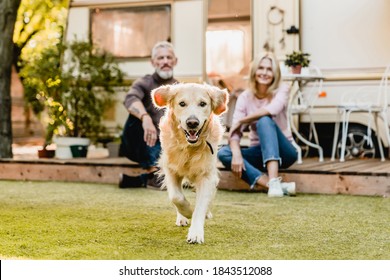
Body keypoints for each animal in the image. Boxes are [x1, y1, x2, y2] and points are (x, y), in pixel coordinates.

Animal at [152, 82, 229, 243]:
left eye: (203, 104)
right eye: (182, 103)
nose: (192, 123)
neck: (190, 148)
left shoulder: (207, 175)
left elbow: (200, 206)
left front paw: (196, 232)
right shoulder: (171, 170)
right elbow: (177, 197)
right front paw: (187, 212)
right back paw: (182, 217)